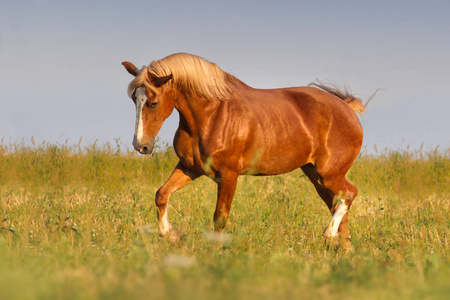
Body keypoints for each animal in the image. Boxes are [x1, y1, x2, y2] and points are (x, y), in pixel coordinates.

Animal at [122, 52, 366, 251]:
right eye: (134, 99)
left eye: (153, 102)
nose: (141, 145)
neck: (211, 115)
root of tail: (347, 109)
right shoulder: (190, 168)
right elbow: (161, 194)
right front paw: (172, 236)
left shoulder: (228, 175)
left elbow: (220, 217)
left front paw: (214, 253)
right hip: (315, 175)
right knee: (338, 204)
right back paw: (343, 251)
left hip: (329, 174)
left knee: (349, 194)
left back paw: (329, 234)